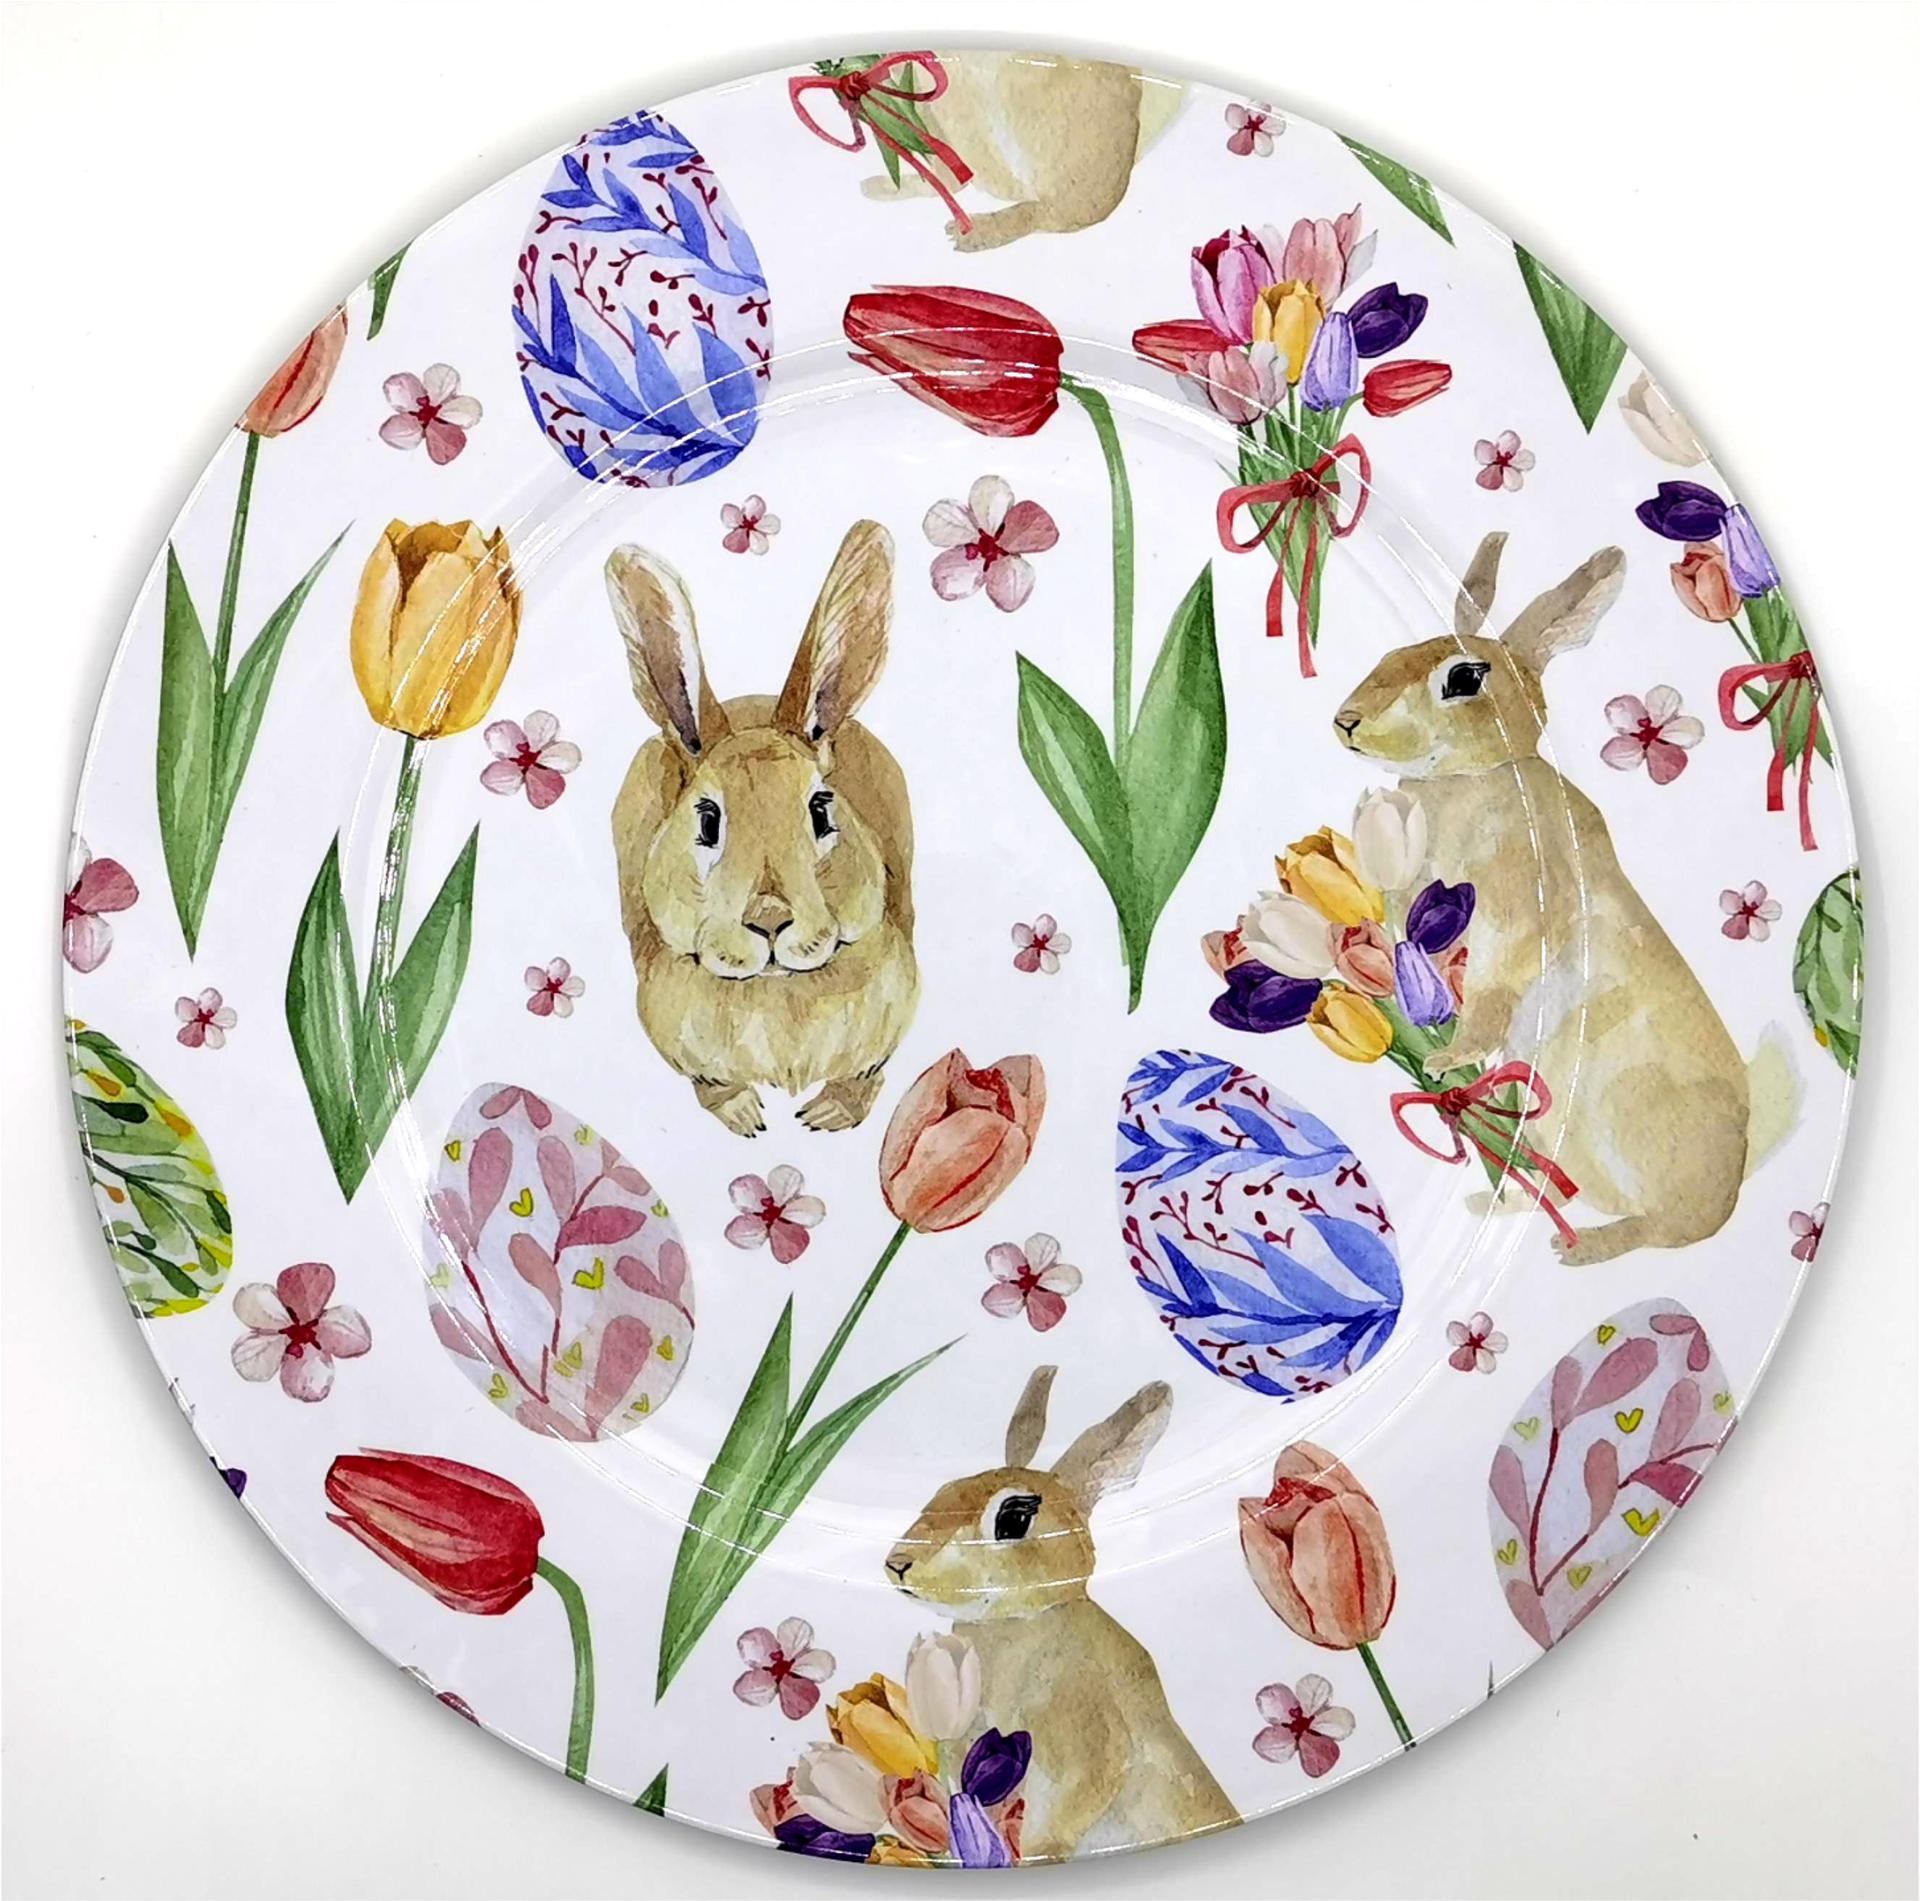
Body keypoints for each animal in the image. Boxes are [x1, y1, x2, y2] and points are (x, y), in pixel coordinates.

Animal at [606, 521, 918, 1137]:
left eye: (821, 809)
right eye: (707, 819)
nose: (770, 921)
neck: (776, 990)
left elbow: (864, 1078)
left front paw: (825, 1117)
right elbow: (714, 1087)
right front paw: (747, 1119)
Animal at [886, 1367, 1238, 1860]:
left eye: (1013, 1519)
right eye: (944, 1490)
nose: (898, 1563)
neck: (1020, 1624)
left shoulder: (1088, 1740)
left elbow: (1066, 1806)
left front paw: (1038, 1853)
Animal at [1332, 532, 1797, 1264]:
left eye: (1463, 679)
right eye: (1393, 652)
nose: (1346, 721)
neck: (1480, 776)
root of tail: (1740, 1172)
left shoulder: (1512, 918)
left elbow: (1489, 992)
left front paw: (1445, 1057)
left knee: (1666, 1228)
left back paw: (1580, 1251)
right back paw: (1498, 1204)